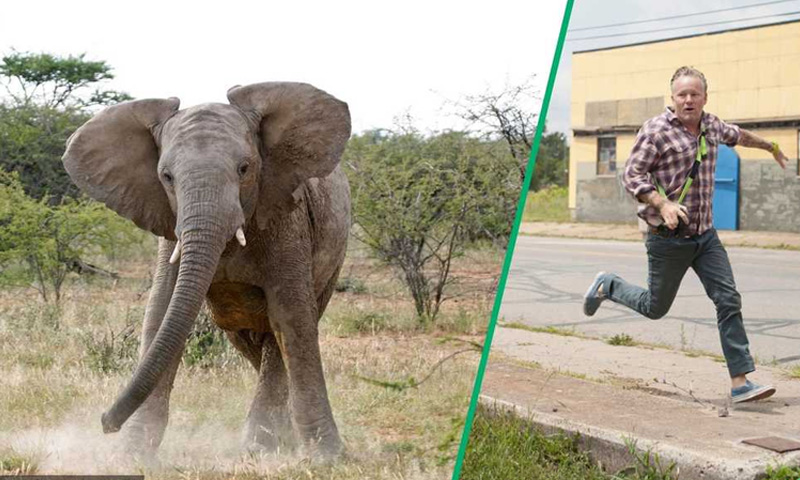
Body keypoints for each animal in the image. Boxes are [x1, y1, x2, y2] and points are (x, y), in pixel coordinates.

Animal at [61, 82, 351, 457]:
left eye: (245, 168)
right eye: (166, 177)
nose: (105, 422)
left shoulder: (287, 218)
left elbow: (292, 319)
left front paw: (327, 457)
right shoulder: (170, 229)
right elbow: (161, 314)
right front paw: (132, 455)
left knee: (279, 337)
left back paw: (262, 446)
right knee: (245, 338)